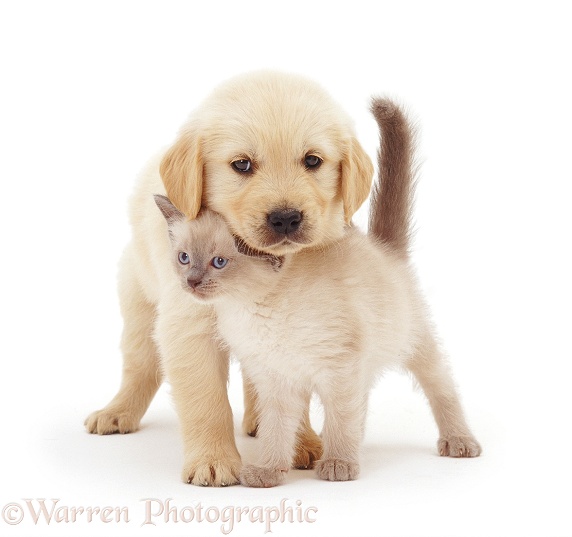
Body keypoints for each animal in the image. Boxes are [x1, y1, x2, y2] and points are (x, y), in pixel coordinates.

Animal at [82, 71, 374, 486]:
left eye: (313, 161)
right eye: (242, 165)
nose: (286, 218)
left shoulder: (300, 320)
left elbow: (289, 385)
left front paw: (299, 442)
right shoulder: (189, 326)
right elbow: (207, 401)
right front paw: (213, 460)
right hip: (137, 298)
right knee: (140, 365)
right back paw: (117, 411)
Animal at [152, 96, 478, 486]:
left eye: (219, 262)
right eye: (184, 258)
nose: (191, 282)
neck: (250, 310)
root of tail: (384, 248)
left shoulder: (341, 371)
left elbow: (341, 421)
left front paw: (338, 465)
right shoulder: (277, 382)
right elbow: (278, 430)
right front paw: (268, 471)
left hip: (415, 344)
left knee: (442, 387)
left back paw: (459, 441)